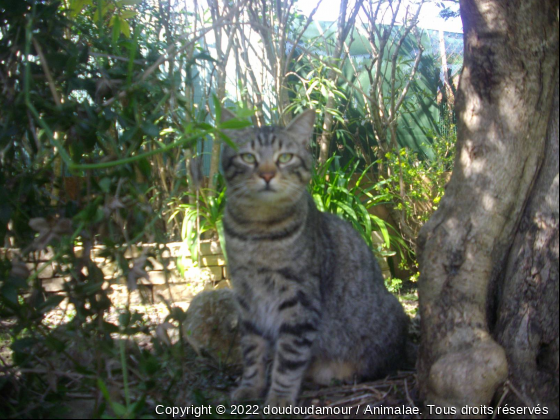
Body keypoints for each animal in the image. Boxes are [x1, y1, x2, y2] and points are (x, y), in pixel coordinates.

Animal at [219, 108, 406, 406]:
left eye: (285, 157)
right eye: (248, 157)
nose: (267, 175)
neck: (257, 230)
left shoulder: (299, 300)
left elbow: (288, 360)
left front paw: (278, 399)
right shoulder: (247, 298)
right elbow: (252, 351)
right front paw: (250, 387)